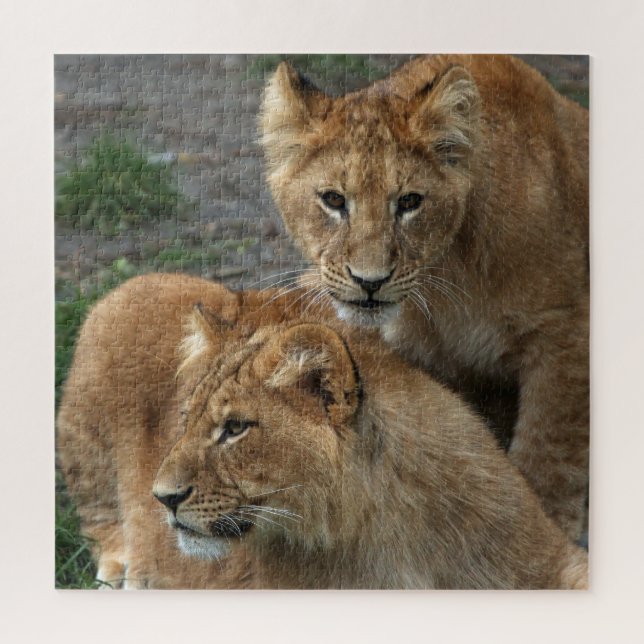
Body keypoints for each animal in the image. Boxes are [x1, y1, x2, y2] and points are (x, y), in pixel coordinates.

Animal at [57, 273, 587, 589]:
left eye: (235, 428)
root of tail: (138, 280)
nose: (161, 498)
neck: (388, 531)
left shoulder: (543, 557)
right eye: (184, 421)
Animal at [260, 55, 589, 541]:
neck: (448, 274)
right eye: (334, 200)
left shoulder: (565, 335)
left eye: (410, 202)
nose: (370, 281)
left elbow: (547, 457)